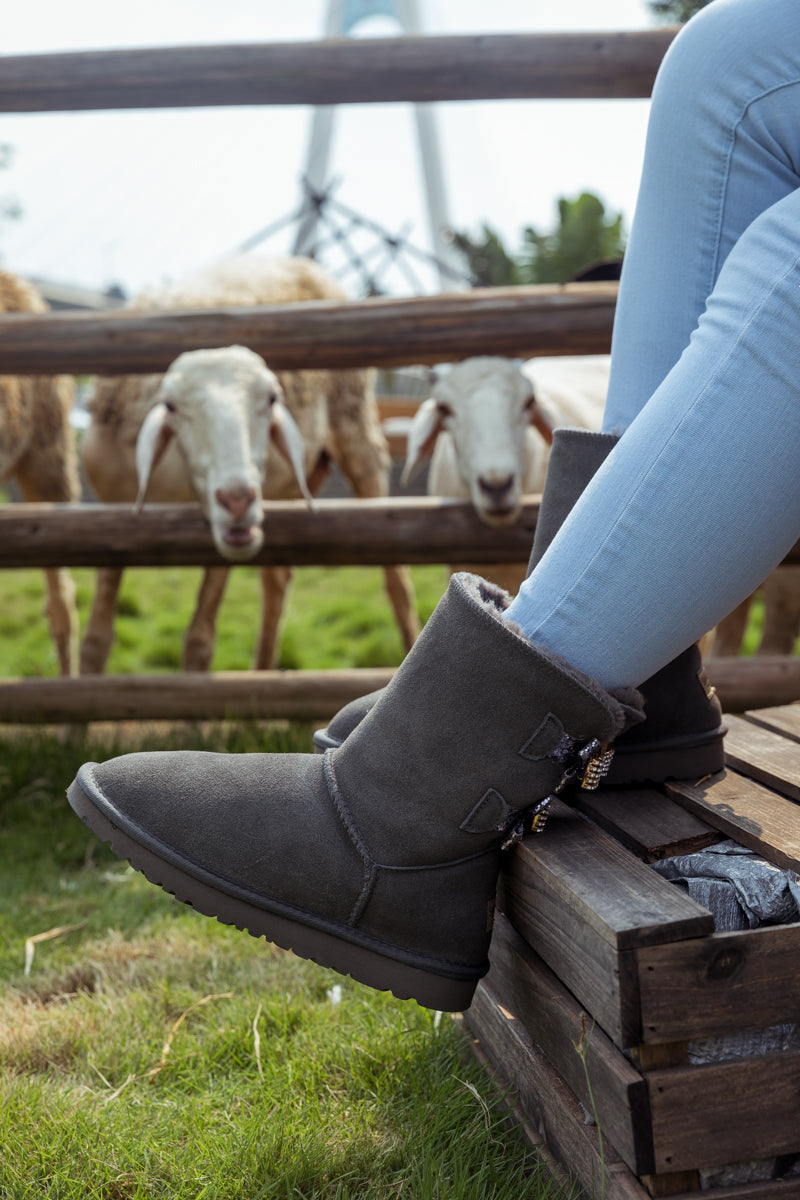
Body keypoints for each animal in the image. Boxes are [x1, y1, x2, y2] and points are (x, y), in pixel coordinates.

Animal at [79, 254, 422, 676]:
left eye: (272, 398)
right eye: (171, 406)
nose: (238, 499)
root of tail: (304, 263)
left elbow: (199, 643)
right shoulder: (112, 514)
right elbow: (96, 642)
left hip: (359, 438)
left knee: (396, 581)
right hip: (290, 483)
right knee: (278, 580)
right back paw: (264, 674)